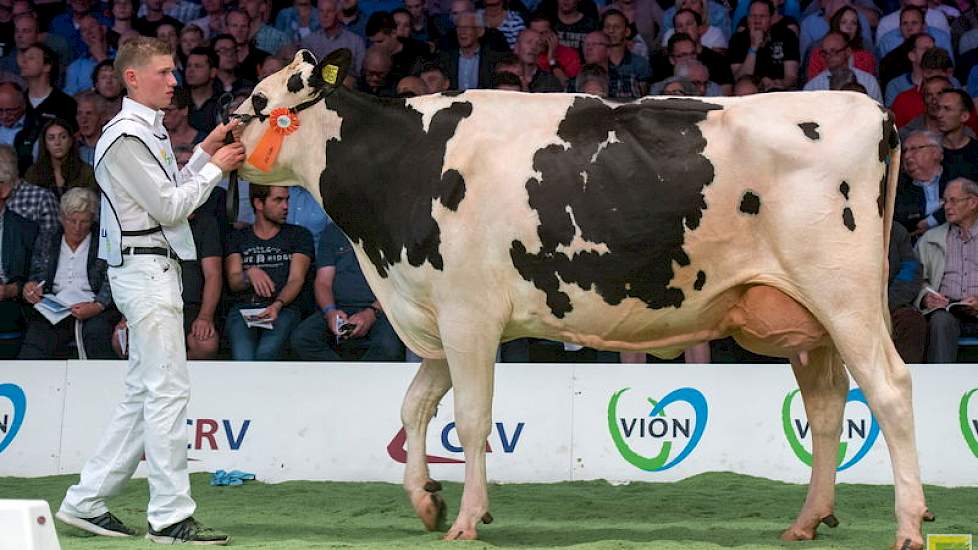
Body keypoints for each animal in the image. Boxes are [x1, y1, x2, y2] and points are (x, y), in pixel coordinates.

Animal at [233, 49, 928, 548]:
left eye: (260, 100)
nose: (222, 131)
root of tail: (869, 109)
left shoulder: (468, 315)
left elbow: (472, 419)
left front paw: (467, 519)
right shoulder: (439, 314)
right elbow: (414, 408)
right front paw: (427, 500)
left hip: (845, 296)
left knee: (890, 389)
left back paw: (910, 525)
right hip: (806, 317)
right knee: (828, 406)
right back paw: (807, 520)